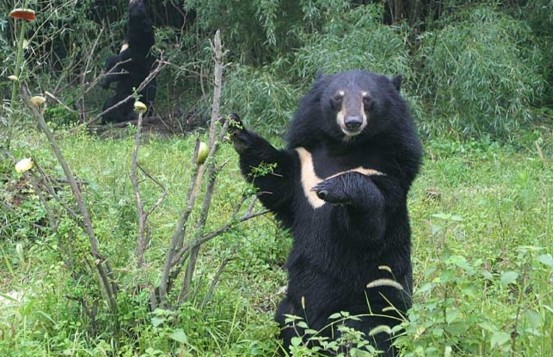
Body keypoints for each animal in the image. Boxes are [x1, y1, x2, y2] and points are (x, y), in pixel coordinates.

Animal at [229, 69, 422, 354]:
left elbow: (373, 223)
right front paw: (236, 128)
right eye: (337, 98)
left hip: (370, 304)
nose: (352, 122)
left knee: (369, 336)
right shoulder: (303, 166)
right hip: (294, 305)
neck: (346, 148)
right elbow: (275, 178)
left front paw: (333, 187)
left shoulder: (390, 170)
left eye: (367, 99)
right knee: (289, 325)